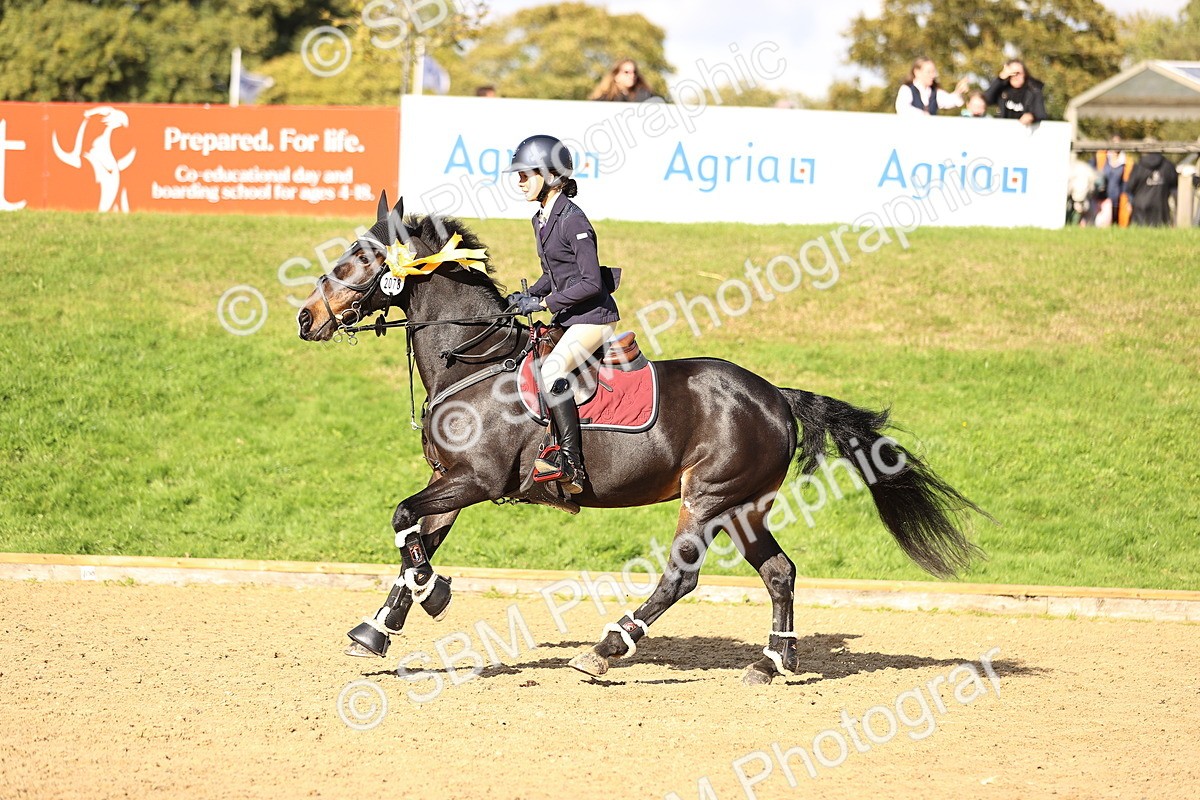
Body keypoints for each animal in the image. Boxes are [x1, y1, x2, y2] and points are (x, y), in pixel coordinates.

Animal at [296, 192, 988, 684]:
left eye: (357, 260)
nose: (306, 318)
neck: (474, 359)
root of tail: (775, 396)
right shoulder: (451, 482)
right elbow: (416, 538)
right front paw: (379, 627)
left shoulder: (475, 481)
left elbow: (403, 520)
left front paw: (433, 596)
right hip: (742, 507)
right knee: (780, 572)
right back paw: (771, 662)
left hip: (707, 498)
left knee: (681, 577)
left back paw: (606, 648)